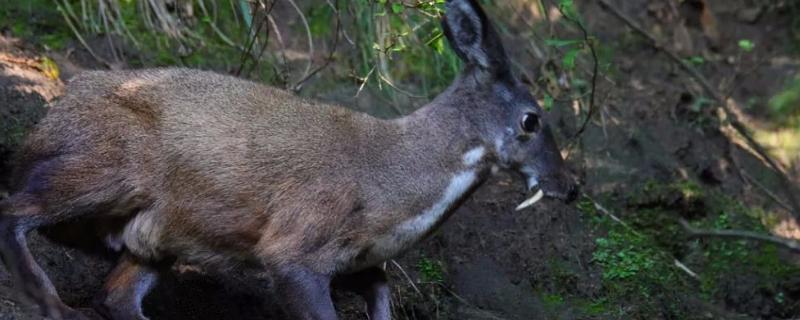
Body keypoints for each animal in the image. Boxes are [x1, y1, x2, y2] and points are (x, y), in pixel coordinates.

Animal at [0, 0, 576, 320]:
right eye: (532, 119)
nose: (569, 186)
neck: (389, 188)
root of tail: (52, 114)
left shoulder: (357, 258)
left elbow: (382, 294)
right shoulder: (294, 242)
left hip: (155, 234)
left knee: (116, 297)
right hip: (109, 166)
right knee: (14, 210)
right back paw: (50, 304)